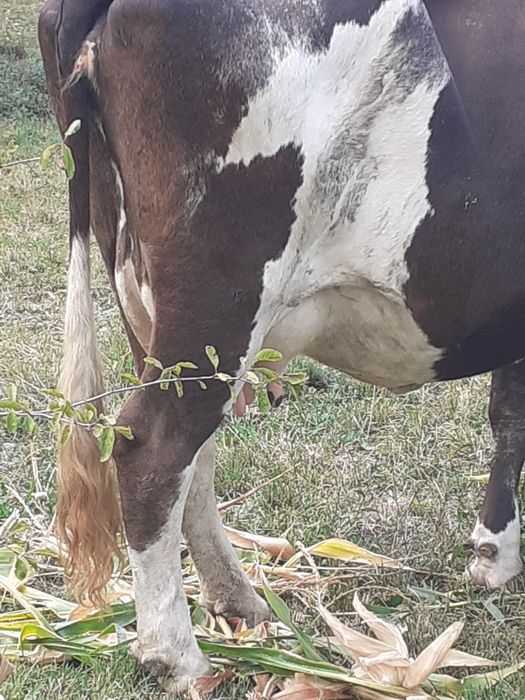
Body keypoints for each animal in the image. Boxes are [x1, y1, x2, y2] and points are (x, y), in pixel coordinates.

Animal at [38, 0, 525, 692]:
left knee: (188, 457)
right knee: (153, 452)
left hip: (146, 302)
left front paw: (494, 551)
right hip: (221, 296)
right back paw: (179, 657)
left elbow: (508, 413)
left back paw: (238, 601)